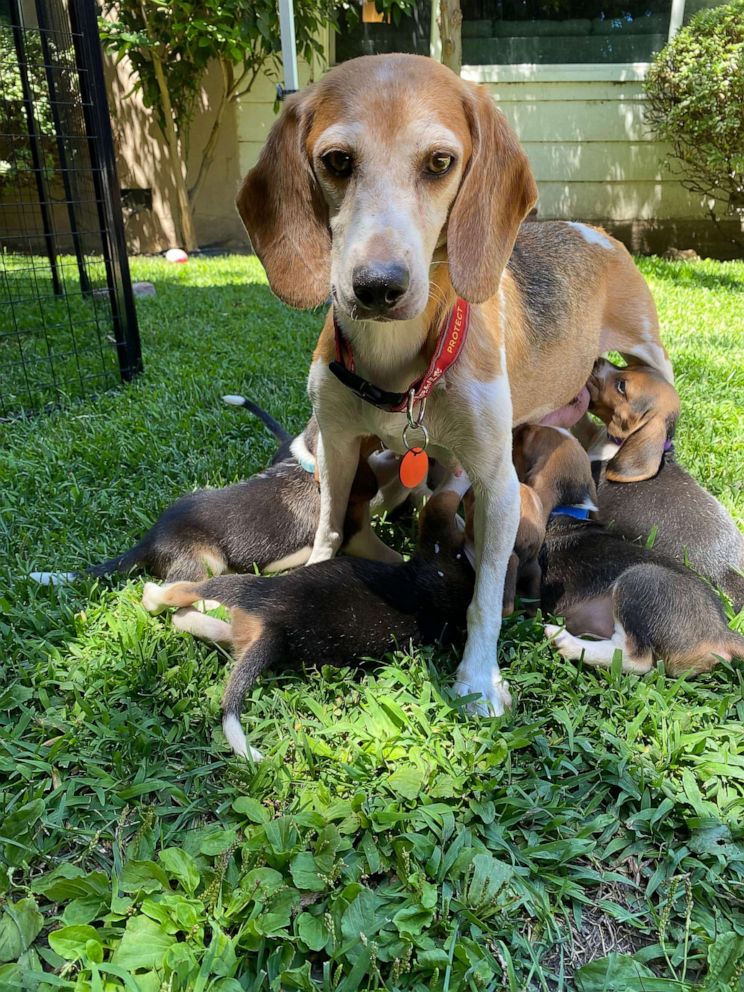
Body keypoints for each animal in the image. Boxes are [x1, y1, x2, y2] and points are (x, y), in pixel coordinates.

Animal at [238, 54, 676, 716]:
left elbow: (484, 597)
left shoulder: (497, 484)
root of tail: (590, 228)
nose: (377, 286)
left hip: (650, 354)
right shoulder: (337, 451)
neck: (397, 361)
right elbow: (330, 527)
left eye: (440, 163)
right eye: (336, 161)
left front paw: (477, 678)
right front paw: (314, 572)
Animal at [512, 430, 744, 680]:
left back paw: (567, 642)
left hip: (639, 580)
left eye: (527, 439)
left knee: (636, 659)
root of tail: (721, 632)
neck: (568, 509)